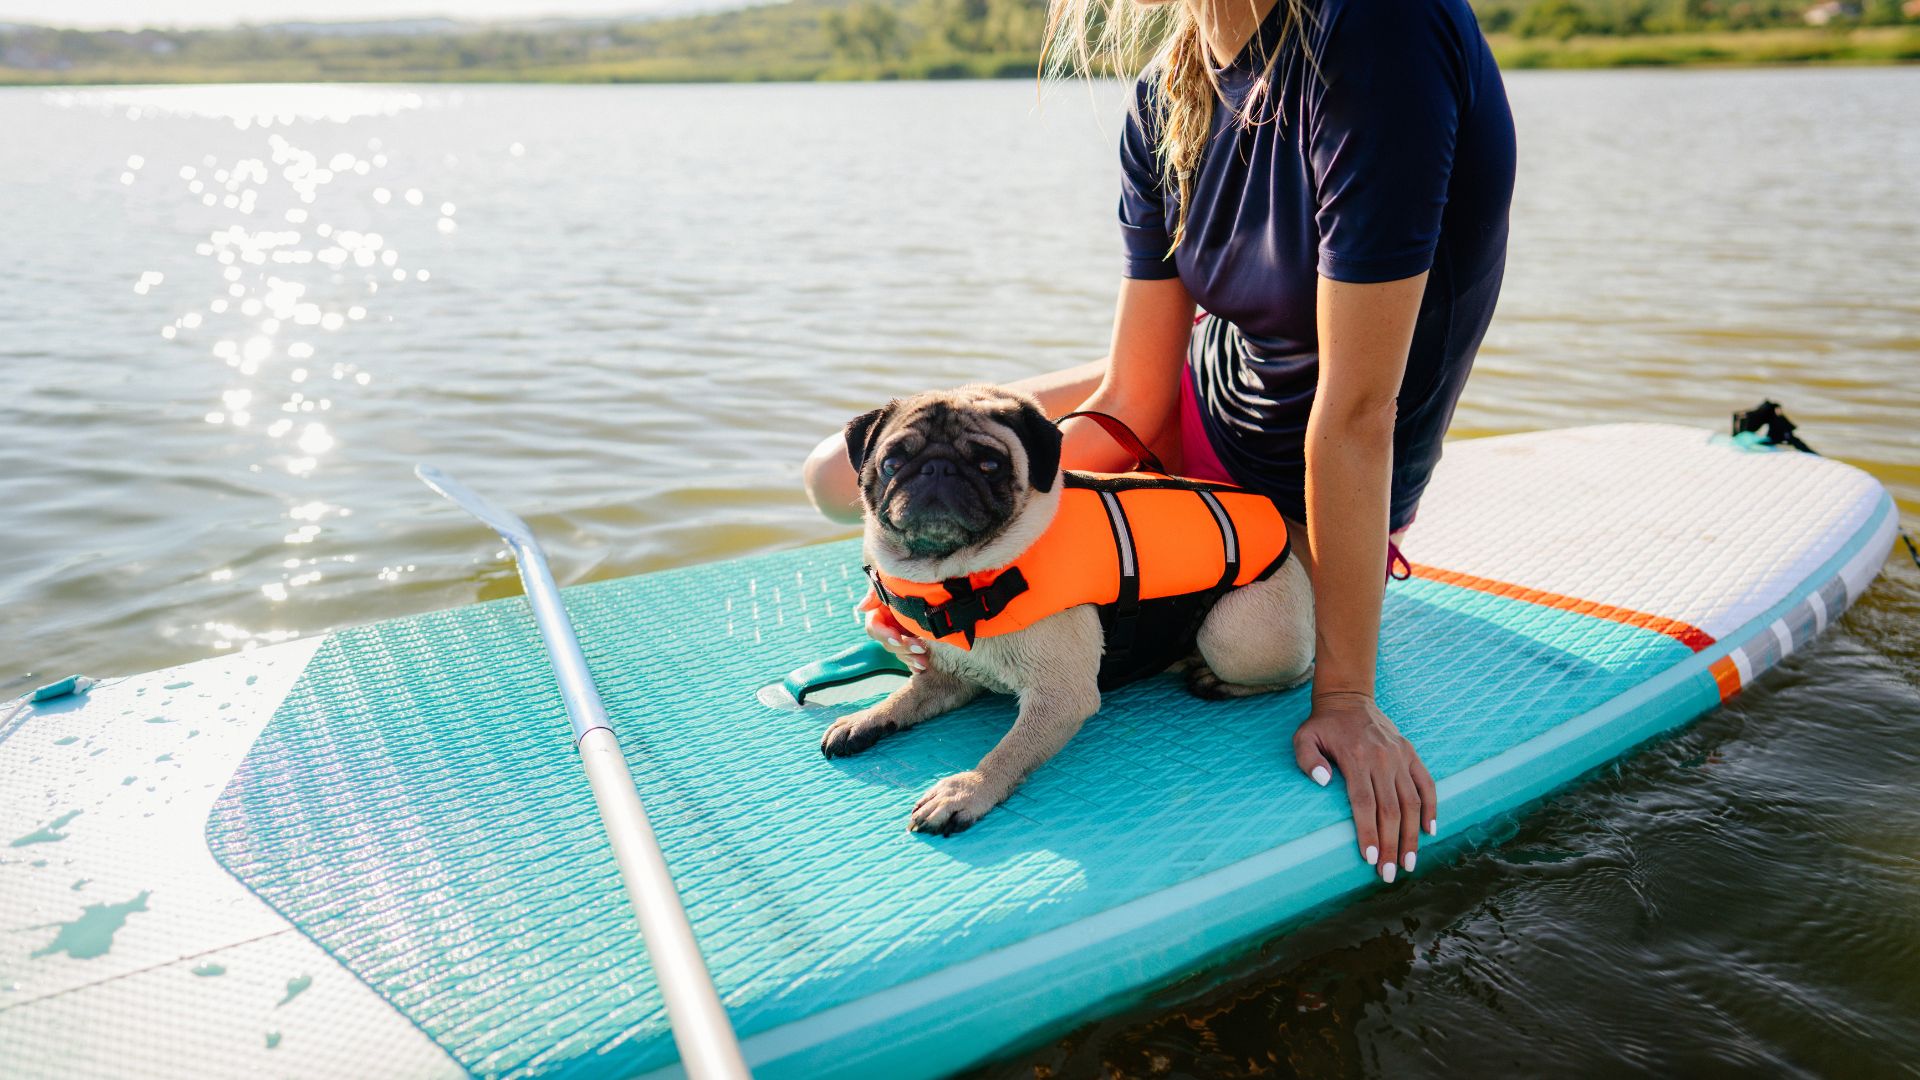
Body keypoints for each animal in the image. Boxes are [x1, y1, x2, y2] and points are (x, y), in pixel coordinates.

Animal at [817, 384, 1313, 834]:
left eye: (989, 464)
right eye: (892, 462)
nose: (938, 468)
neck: (958, 579)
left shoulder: (1059, 698)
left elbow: (1009, 750)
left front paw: (967, 790)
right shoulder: (948, 676)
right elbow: (906, 696)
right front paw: (866, 718)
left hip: (1231, 634)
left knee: (1299, 671)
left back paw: (1214, 680)